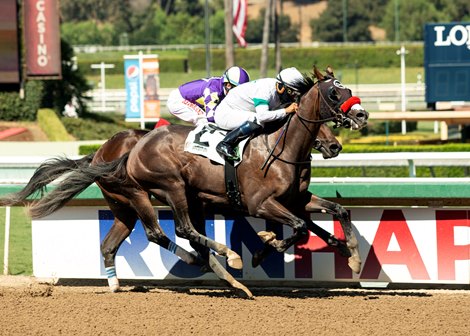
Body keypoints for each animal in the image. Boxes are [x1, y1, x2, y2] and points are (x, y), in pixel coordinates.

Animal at [21, 65, 370, 296]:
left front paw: (353, 256)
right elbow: (298, 228)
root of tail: (130, 148)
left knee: (121, 241)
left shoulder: (296, 198)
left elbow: (336, 213)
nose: (361, 115)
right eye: (334, 92)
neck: (280, 146)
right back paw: (225, 259)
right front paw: (262, 248)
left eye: (350, 90)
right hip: (164, 188)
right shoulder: (260, 203)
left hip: (141, 205)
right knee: (176, 230)